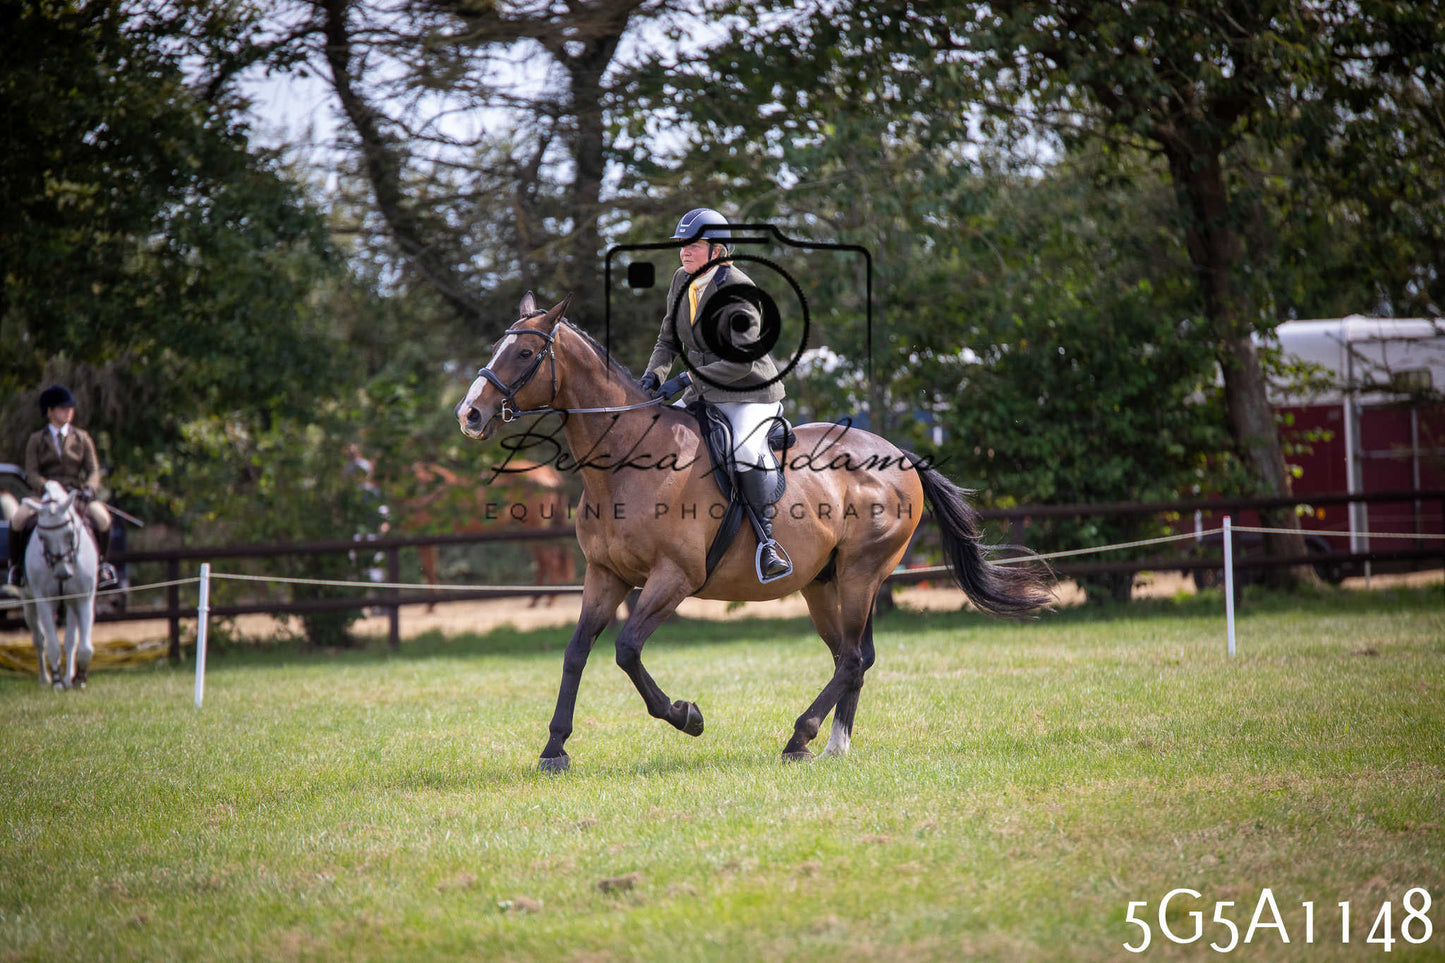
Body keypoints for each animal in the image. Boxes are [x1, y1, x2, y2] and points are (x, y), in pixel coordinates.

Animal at [16, 481, 98, 689]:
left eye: (69, 533)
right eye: (42, 537)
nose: (63, 573)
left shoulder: (83, 598)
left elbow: (84, 647)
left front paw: (79, 679)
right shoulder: (43, 600)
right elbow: (51, 645)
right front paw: (57, 682)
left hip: (71, 604)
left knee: (70, 641)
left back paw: (69, 678)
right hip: (28, 603)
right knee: (39, 640)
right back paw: (46, 679)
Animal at [401, 461, 575, 610]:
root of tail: (548, 472)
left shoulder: (424, 537)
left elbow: (429, 570)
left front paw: (431, 605)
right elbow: (431, 569)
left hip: (535, 529)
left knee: (549, 560)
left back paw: (547, 600)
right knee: (543, 562)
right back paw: (536, 600)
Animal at [455, 294, 1052, 769]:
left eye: (525, 355)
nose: (470, 414)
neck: (626, 461)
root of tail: (900, 455)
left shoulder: (673, 577)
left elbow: (626, 649)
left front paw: (686, 716)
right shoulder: (605, 575)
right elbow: (576, 651)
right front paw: (554, 749)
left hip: (862, 573)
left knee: (852, 659)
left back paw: (801, 737)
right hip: (824, 584)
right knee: (852, 657)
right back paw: (831, 744)